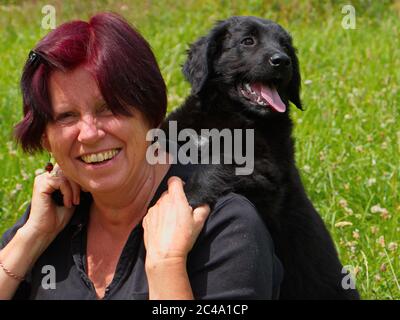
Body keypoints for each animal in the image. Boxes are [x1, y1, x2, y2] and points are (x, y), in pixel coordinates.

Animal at [161, 15, 360, 300]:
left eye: (285, 46)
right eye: (248, 41)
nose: (282, 61)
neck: (231, 116)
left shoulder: (266, 174)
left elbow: (222, 161)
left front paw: (189, 197)